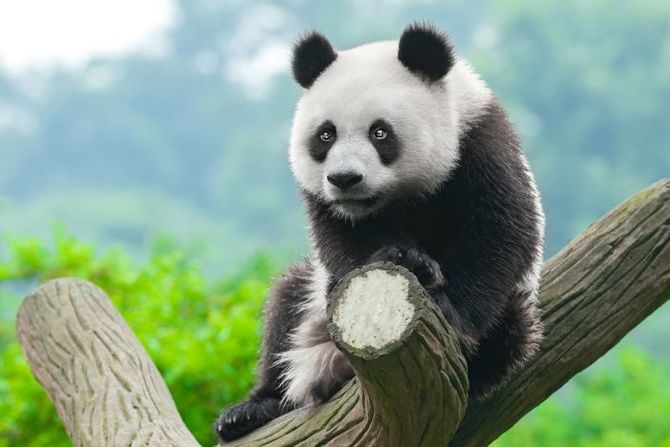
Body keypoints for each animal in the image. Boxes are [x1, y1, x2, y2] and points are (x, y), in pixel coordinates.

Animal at [216, 22, 545, 442]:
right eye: (326, 135)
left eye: (380, 132)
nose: (345, 179)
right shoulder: (330, 207)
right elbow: (344, 241)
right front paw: (406, 258)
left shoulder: (481, 144)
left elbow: (499, 234)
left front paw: (448, 309)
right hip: (311, 305)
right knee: (285, 308)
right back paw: (249, 412)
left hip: (515, 310)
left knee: (511, 331)